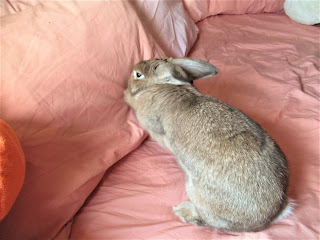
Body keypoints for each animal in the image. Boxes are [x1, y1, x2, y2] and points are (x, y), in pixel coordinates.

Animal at [124, 57, 294, 232]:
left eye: (138, 74)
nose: (133, 69)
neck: (160, 87)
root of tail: (275, 213)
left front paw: (125, 96)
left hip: (194, 190)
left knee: (208, 221)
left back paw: (183, 210)